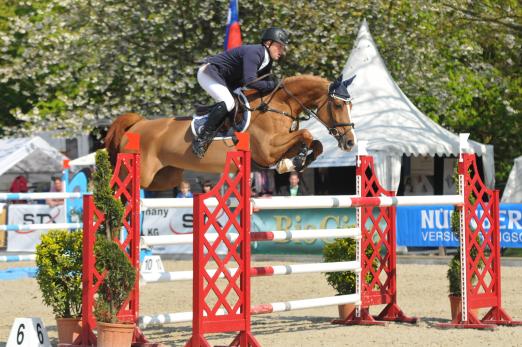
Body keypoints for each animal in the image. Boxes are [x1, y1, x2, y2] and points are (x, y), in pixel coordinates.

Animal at [104, 74, 358, 192]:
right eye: (338, 105)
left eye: (351, 105)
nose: (349, 142)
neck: (280, 105)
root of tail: (138, 125)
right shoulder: (267, 150)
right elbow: (306, 134)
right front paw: (294, 162)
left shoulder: (278, 148)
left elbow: (316, 143)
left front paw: (294, 162)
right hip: (139, 174)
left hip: (164, 178)